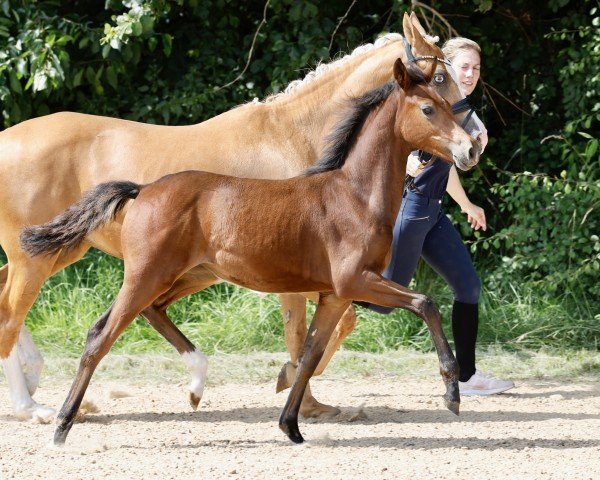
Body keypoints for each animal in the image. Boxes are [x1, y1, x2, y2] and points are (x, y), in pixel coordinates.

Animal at [21, 55, 478, 442]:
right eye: (429, 108)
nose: (470, 148)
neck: (354, 195)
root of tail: (144, 189)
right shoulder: (356, 281)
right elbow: (425, 303)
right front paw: (451, 393)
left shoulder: (335, 294)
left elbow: (309, 354)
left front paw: (291, 426)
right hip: (146, 275)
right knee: (100, 336)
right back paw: (61, 424)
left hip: (188, 276)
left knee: (150, 313)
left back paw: (195, 385)